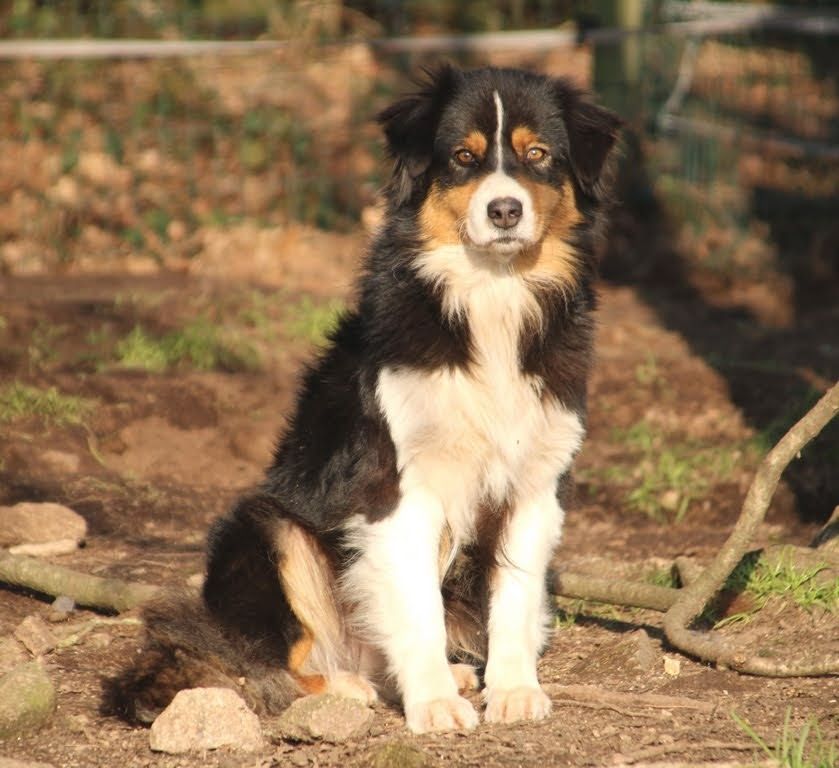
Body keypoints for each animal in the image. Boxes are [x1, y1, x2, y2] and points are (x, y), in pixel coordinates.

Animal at [113, 69, 624, 736]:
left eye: (538, 154)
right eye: (463, 158)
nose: (505, 209)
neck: (491, 294)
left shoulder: (536, 483)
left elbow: (514, 597)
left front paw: (513, 690)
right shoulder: (396, 489)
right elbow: (419, 609)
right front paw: (434, 705)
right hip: (270, 527)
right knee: (265, 660)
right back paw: (343, 687)